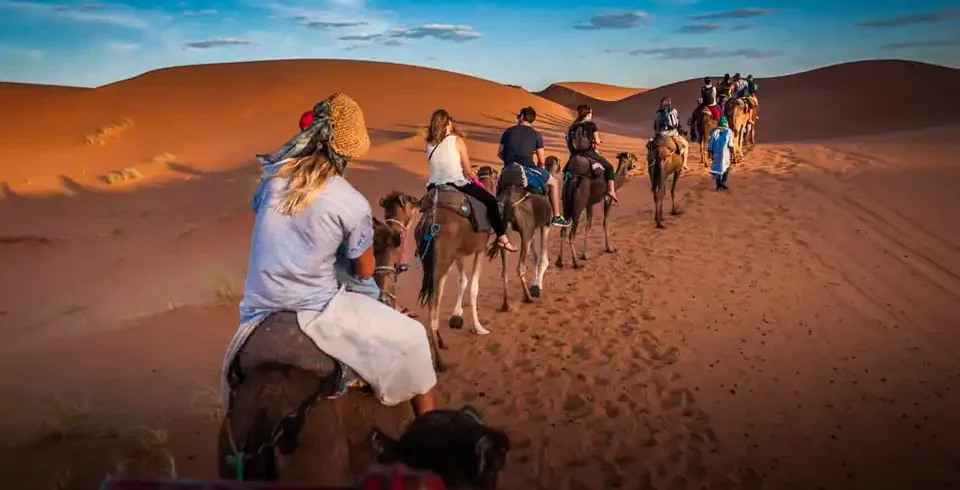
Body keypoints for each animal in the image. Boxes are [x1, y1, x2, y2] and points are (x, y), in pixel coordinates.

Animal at [416, 167, 498, 370]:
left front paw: (457, 314)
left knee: (434, 300)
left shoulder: (458, 254)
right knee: (432, 308)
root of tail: (431, 221)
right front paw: (479, 328)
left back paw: (441, 342)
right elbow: (474, 287)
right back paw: (440, 362)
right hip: (441, 262)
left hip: (433, 263)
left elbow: (463, 280)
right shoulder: (480, 249)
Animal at [488, 158, 556, 310]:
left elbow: (535, 257)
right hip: (526, 232)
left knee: (505, 270)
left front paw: (536, 284)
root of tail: (509, 200)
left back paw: (506, 304)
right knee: (520, 267)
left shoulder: (533, 229)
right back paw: (528, 298)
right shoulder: (544, 224)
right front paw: (537, 285)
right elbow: (542, 256)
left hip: (506, 231)